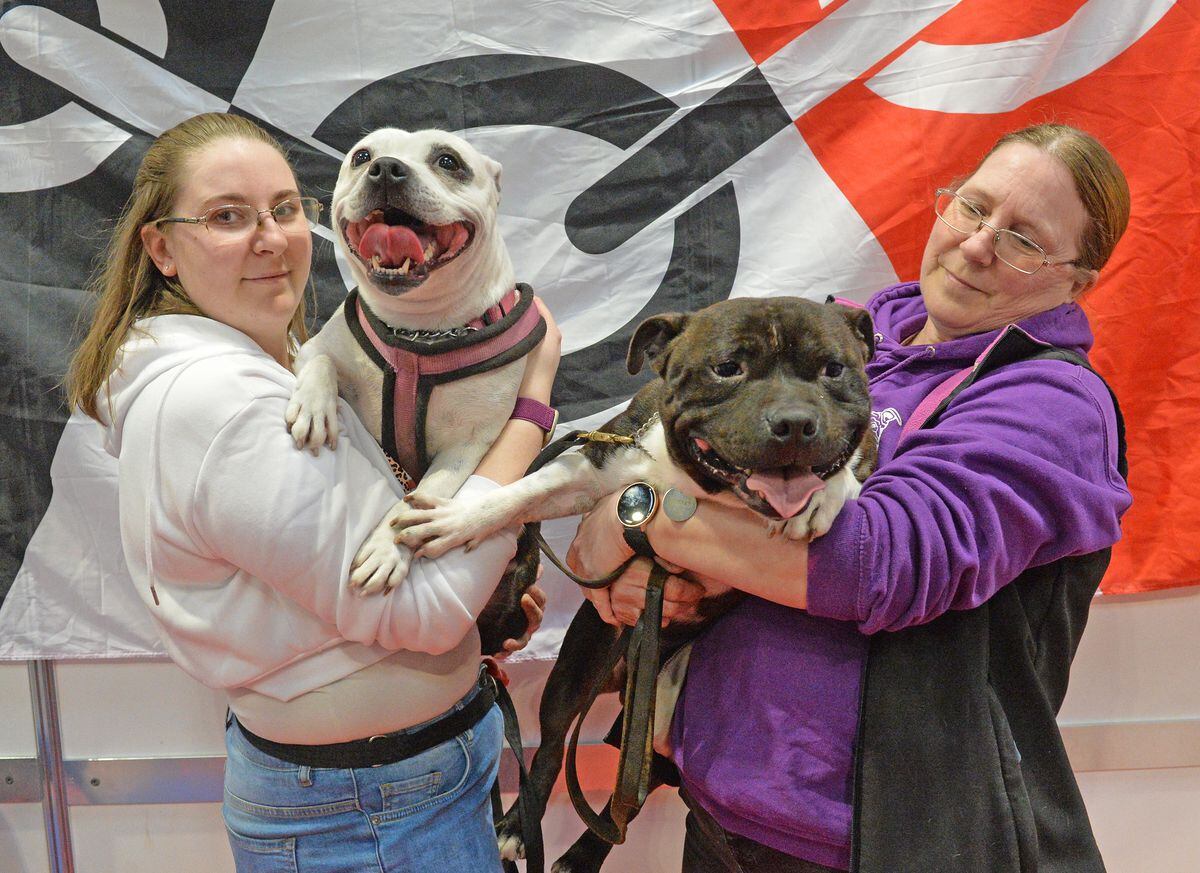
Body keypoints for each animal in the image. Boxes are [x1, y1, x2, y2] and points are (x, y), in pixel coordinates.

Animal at [283, 129, 547, 592]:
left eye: (448, 161)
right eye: (361, 156)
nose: (386, 168)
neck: (417, 332)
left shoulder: (466, 445)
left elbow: (421, 498)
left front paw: (386, 548)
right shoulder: (313, 348)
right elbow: (323, 363)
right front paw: (315, 408)